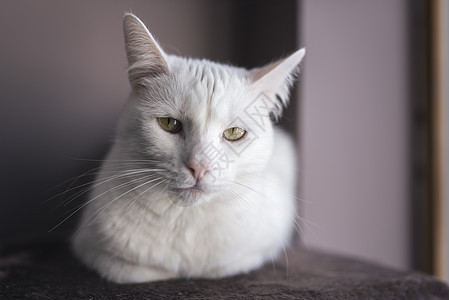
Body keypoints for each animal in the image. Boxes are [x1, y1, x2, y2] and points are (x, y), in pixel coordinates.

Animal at [72, 12, 304, 284]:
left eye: (234, 133)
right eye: (169, 123)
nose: (199, 167)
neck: (186, 218)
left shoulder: (257, 249)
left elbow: (225, 266)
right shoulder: (89, 247)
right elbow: (131, 270)